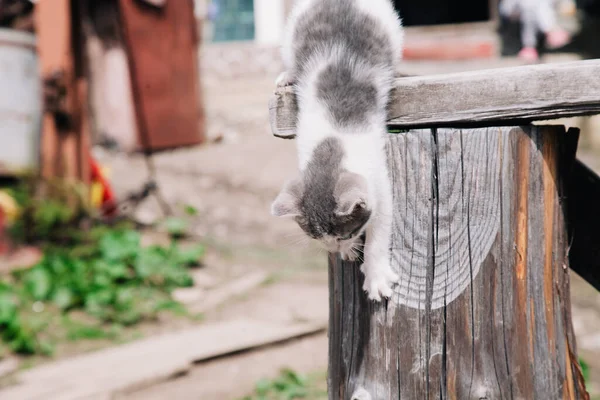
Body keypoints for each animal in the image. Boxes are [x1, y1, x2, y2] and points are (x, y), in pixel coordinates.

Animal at [272, 0, 404, 300]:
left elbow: (381, 223)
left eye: (344, 234)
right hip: (291, 32)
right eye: (315, 237)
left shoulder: (379, 179)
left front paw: (375, 274)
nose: (332, 248)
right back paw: (287, 76)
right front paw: (350, 253)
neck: (331, 144)